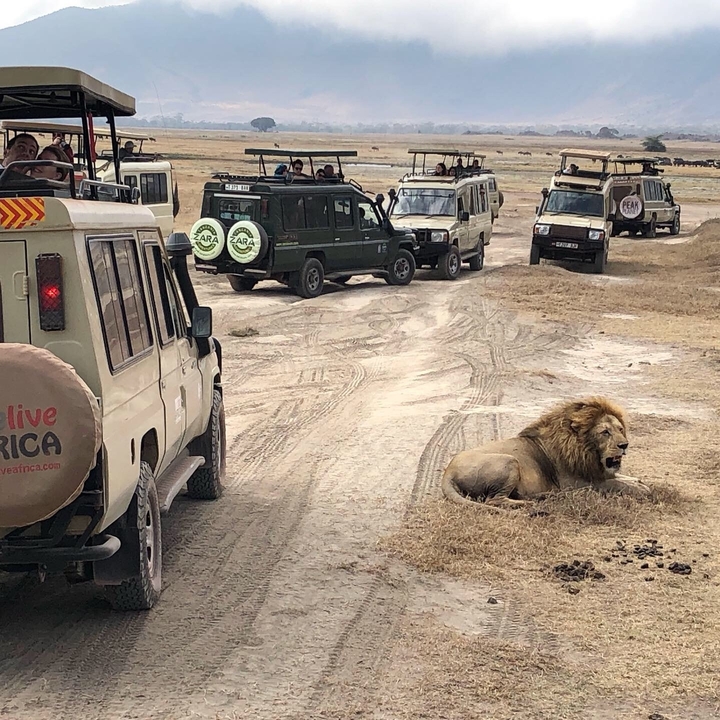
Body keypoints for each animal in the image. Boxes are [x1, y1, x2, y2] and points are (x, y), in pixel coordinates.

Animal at [441, 396, 650, 510]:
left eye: (620, 429)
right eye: (605, 432)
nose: (624, 444)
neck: (586, 452)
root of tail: (448, 472)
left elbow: (620, 477)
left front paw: (638, 482)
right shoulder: (574, 483)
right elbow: (613, 483)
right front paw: (641, 489)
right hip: (510, 461)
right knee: (494, 500)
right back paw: (530, 504)